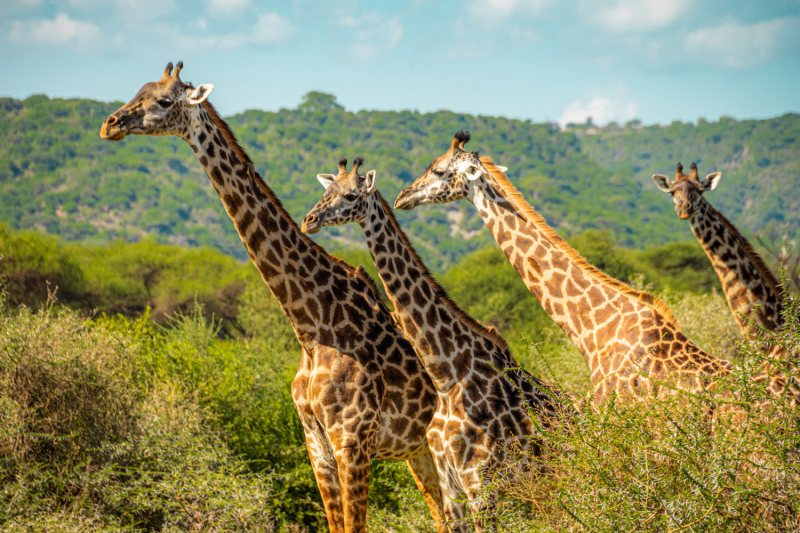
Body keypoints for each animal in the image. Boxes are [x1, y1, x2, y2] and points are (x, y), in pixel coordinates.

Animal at [97, 62, 450, 532]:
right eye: (138, 89)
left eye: (164, 101)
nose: (110, 124)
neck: (313, 326)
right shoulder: (316, 442)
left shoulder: (351, 441)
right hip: (420, 451)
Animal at [300, 158, 568, 532]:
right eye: (327, 190)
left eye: (351, 194)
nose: (309, 220)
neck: (447, 372)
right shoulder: (451, 487)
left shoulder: (480, 483)